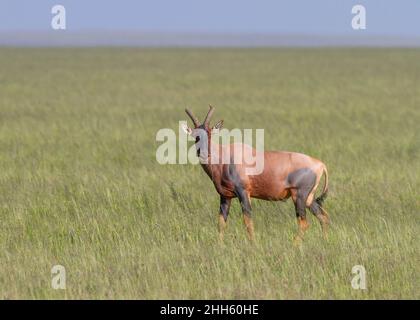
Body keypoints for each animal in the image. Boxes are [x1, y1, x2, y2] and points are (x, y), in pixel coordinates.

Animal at [182, 105, 330, 242]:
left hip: (299, 196)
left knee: (304, 223)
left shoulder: (243, 192)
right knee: (323, 217)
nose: (203, 154)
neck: (225, 155)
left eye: (209, 133)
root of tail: (320, 164)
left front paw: (253, 244)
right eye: (195, 135)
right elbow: (221, 223)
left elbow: (248, 221)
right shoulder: (225, 196)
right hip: (309, 198)